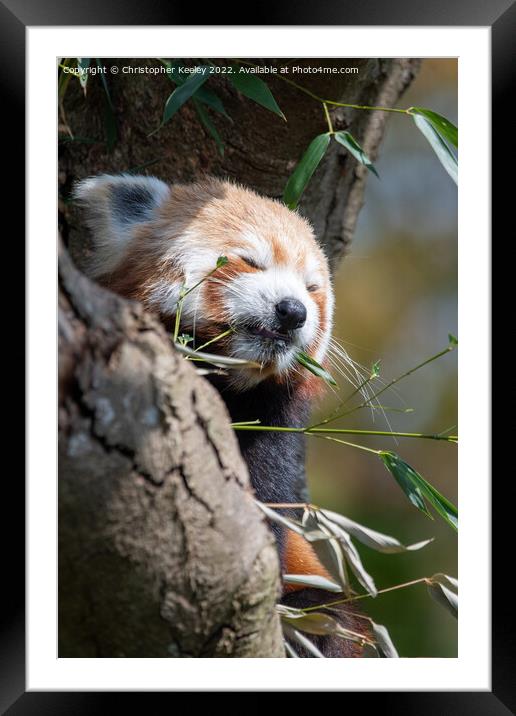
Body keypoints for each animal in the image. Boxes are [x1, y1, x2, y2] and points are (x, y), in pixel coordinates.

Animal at [74, 172, 368, 656]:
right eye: (250, 261)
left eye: (312, 289)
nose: (293, 311)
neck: (227, 384)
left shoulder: (272, 429)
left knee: (329, 614)